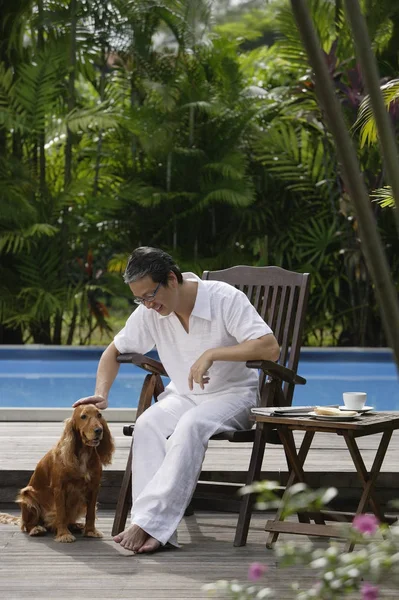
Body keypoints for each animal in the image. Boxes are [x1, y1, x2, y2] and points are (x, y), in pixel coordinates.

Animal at [0, 406, 115, 540]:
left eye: (99, 415)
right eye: (83, 416)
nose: (99, 430)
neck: (84, 453)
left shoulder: (94, 487)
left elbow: (91, 513)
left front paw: (90, 531)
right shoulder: (59, 488)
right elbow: (61, 513)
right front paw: (64, 535)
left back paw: (76, 525)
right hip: (27, 497)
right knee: (27, 524)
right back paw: (36, 529)